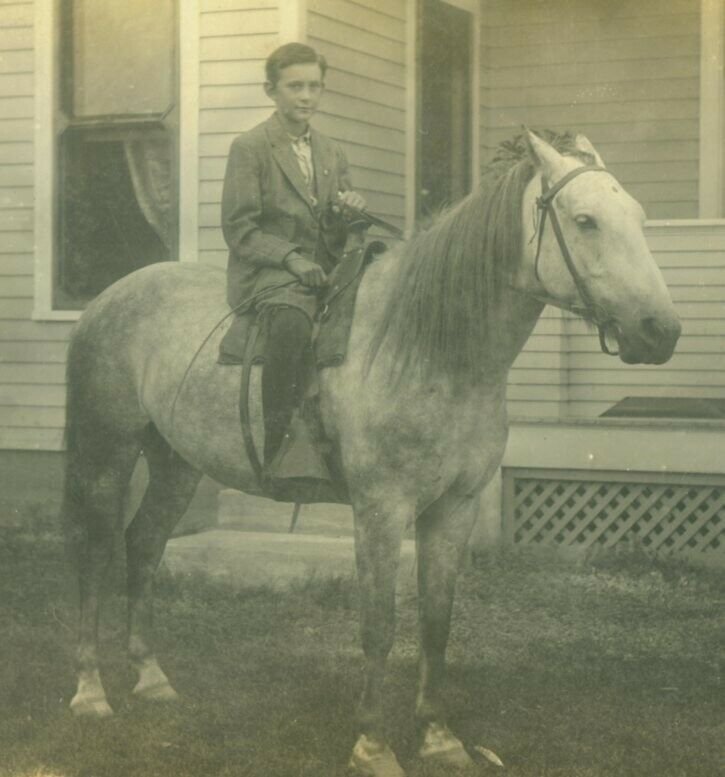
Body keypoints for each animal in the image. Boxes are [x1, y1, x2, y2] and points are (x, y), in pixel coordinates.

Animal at [62, 133, 680, 776]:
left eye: (638, 217)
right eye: (585, 221)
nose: (661, 331)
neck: (422, 346)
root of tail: (111, 297)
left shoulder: (454, 508)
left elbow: (436, 623)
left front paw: (438, 737)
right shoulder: (381, 509)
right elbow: (380, 626)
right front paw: (373, 744)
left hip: (176, 465)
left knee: (144, 544)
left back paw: (151, 679)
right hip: (105, 454)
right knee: (94, 554)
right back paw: (91, 692)